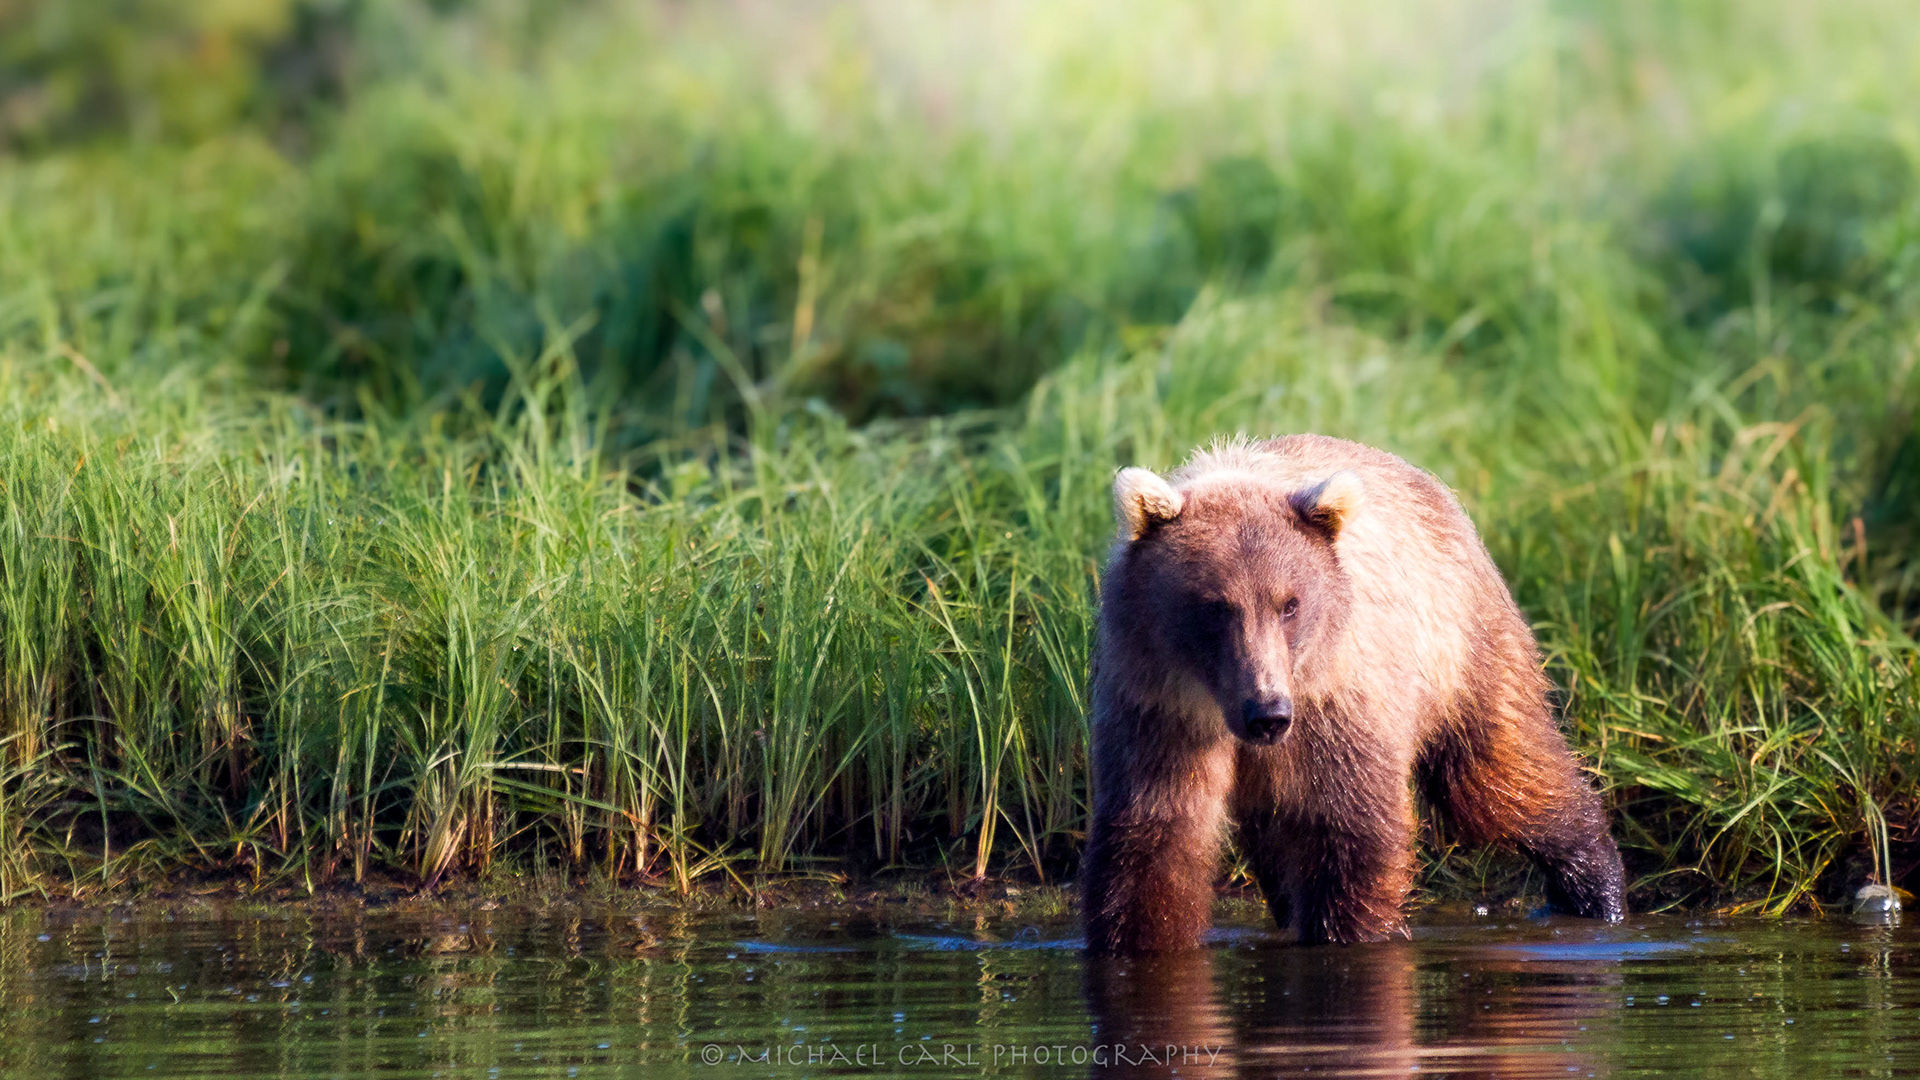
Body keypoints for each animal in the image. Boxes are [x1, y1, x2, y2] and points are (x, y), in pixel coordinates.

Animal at [1081, 434, 1624, 953]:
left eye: (1290, 604)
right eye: (1215, 607)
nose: (1268, 712)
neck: (1218, 705)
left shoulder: (1335, 702)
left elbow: (1349, 826)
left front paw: (1349, 931)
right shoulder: (1158, 706)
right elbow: (1156, 834)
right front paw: (1139, 937)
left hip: (1460, 648)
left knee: (1499, 776)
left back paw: (1595, 886)